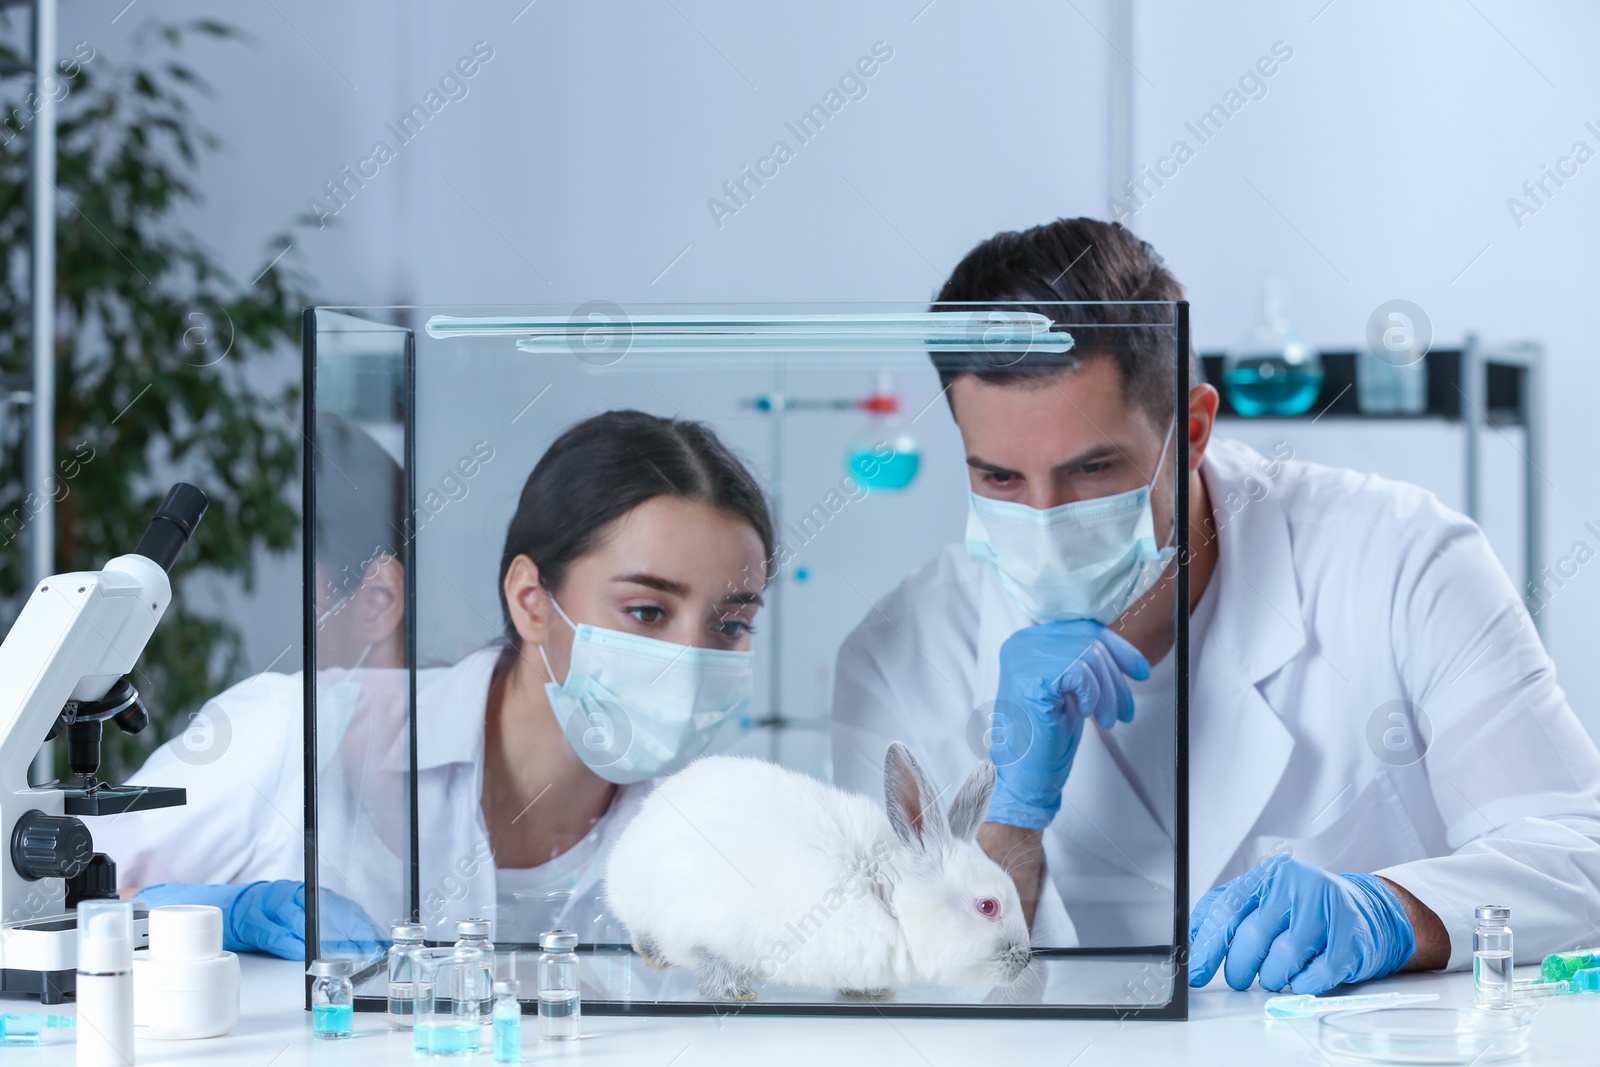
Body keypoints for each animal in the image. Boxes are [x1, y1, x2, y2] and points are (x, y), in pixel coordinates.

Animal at [601, 742, 1036, 1004]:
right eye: (987, 906)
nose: (1025, 959)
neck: (884, 895)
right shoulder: (707, 927)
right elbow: (706, 958)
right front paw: (734, 991)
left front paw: (873, 993)